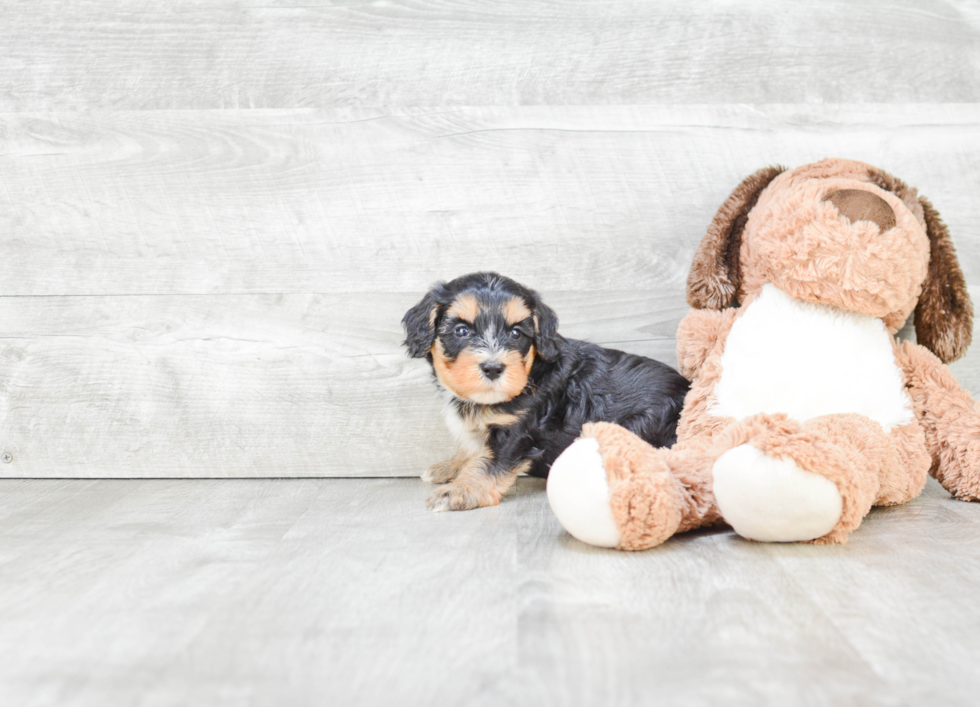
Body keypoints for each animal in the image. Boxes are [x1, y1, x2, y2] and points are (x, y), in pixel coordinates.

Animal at [398, 272, 688, 516]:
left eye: (516, 333)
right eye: (461, 331)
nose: (493, 368)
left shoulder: (517, 431)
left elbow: (488, 461)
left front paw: (460, 490)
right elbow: (474, 448)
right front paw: (450, 466)